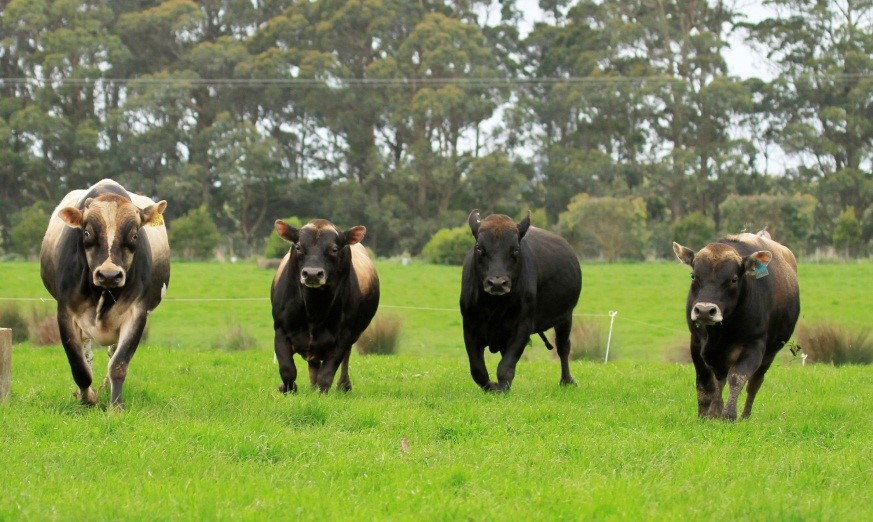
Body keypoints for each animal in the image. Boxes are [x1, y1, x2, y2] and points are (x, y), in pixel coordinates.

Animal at [39, 179, 170, 406]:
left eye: (134, 235)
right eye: (87, 233)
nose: (109, 275)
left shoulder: (136, 313)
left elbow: (118, 364)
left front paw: (115, 405)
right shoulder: (66, 314)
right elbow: (80, 368)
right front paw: (88, 398)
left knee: (112, 354)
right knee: (87, 355)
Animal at [270, 217, 378, 392]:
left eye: (334, 249)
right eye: (298, 247)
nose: (312, 274)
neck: (314, 309)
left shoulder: (342, 337)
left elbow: (326, 375)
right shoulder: (281, 330)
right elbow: (287, 370)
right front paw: (287, 388)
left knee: (344, 358)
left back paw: (344, 385)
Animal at [460, 208, 584, 390]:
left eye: (515, 249)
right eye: (479, 248)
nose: (497, 283)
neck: (493, 306)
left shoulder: (522, 327)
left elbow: (505, 367)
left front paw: (501, 388)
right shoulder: (470, 327)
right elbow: (478, 370)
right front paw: (492, 386)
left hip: (566, 317)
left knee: (563, 347)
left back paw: (567, 380)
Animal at [672, 229, 800, 418]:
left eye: (733, 279)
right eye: (694, 276)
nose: (705, 310)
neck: (720, 332)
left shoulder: (754, 347)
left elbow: (737, 378)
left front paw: (729, 415)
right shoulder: (696, 344)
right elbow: (705, 384)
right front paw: (704, 415)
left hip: (769, 355)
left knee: (753, 384)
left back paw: (744, 416)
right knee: (719, 381)